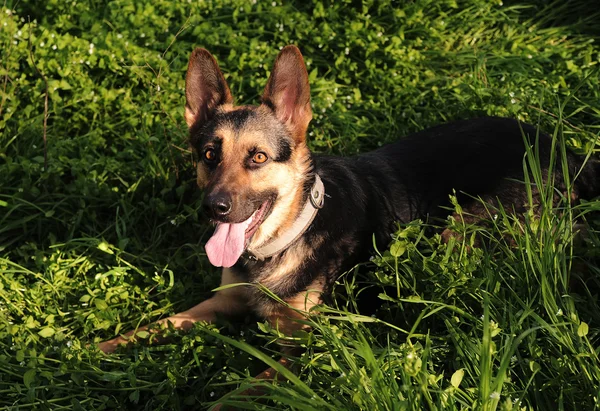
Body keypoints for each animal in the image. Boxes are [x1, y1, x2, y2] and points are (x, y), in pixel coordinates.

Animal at [99, 45, 600, 390]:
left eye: (258, 157)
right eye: (208, 154)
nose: (213, 208)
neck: (286, 237)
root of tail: (568, 150)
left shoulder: (299, 355)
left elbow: (234, 394)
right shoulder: (223, 302)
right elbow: (161, 323)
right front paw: (95, 350)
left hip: (460, 229)